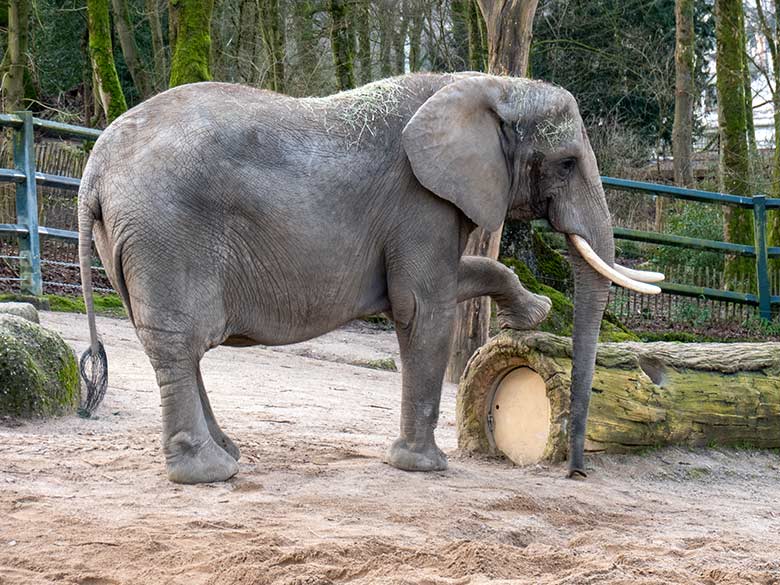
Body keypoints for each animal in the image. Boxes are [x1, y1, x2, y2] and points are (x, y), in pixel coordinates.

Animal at [77, 73, 660, 484]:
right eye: (566, 163)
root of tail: (93, 170)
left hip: (132, 240)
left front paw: (533, 314)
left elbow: (456, 278)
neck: (488, 84)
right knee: (178, 342)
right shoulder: (419, 201)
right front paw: (424, 467)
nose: (575, 472)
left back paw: (228, 453)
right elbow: (423, 309)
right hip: (166, 231)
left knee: (175, 342)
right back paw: (209, 473)